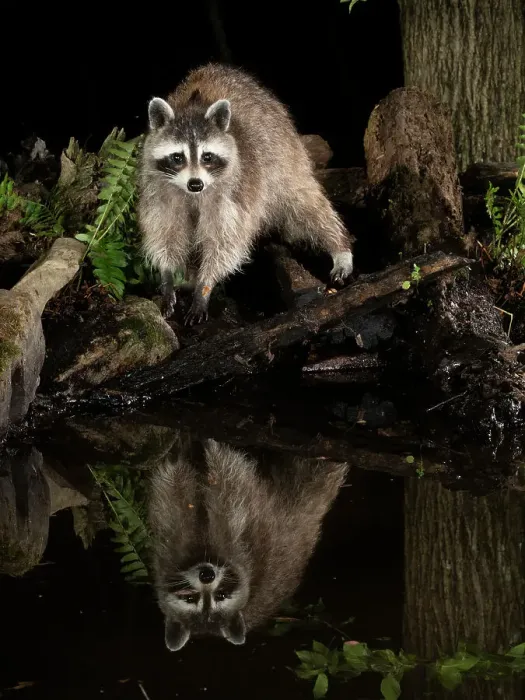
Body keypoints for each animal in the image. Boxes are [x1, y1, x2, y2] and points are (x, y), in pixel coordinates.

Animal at [138, 63, 355, 325]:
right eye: (178, 157)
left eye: (207, 157)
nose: (195, 184)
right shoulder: (159, 188)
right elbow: (165, 232)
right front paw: (168, 275)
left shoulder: (236, 190)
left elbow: (225, 241)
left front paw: (204, 286)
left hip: (283, 154)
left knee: (305, 203)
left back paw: (339, 245)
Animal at [147, 435, 348, 651]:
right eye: (191, 598)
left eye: (221, 596)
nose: (207, 575)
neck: (204, 553)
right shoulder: (171, 547)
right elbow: (181, 487)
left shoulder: (233, 539)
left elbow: (227, 482)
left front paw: (203, 448)